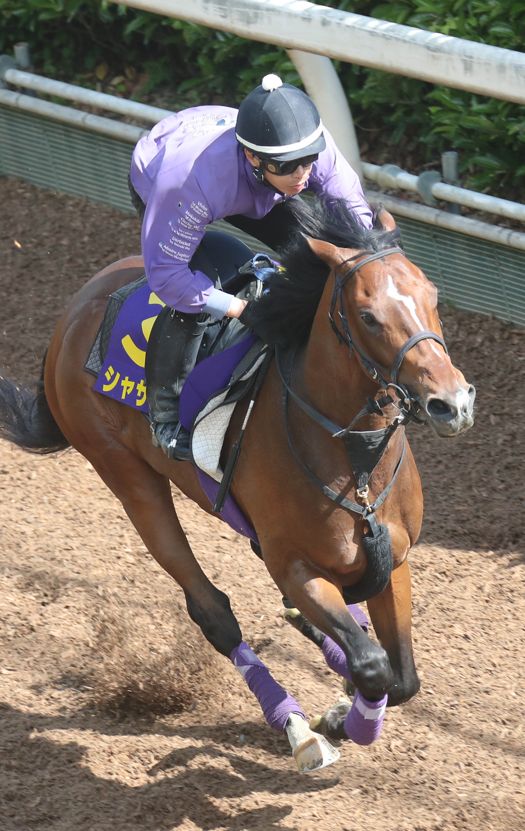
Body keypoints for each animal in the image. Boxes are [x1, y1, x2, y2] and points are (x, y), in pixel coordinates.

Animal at [0, 197, 475, 772]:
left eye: (432, 296)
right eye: (367, 316)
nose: (452, 403)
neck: (355, 462)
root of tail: (74, 310)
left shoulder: (394, 557)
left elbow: (401, 677)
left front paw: (345, 700)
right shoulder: (294, 564)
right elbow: (374, 668)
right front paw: (334, 721)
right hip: (127, 476)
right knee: (213, 612)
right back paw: (299, 729)